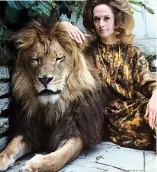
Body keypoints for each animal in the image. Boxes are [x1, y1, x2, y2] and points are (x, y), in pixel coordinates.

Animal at [0, 21, 109, 172]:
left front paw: (34, 165)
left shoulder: (76, 129)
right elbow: (10, 148)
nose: (45, 79)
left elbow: (61, 157)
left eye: (59, 58)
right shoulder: (29, 129)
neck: (53, 107)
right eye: (35, 59)